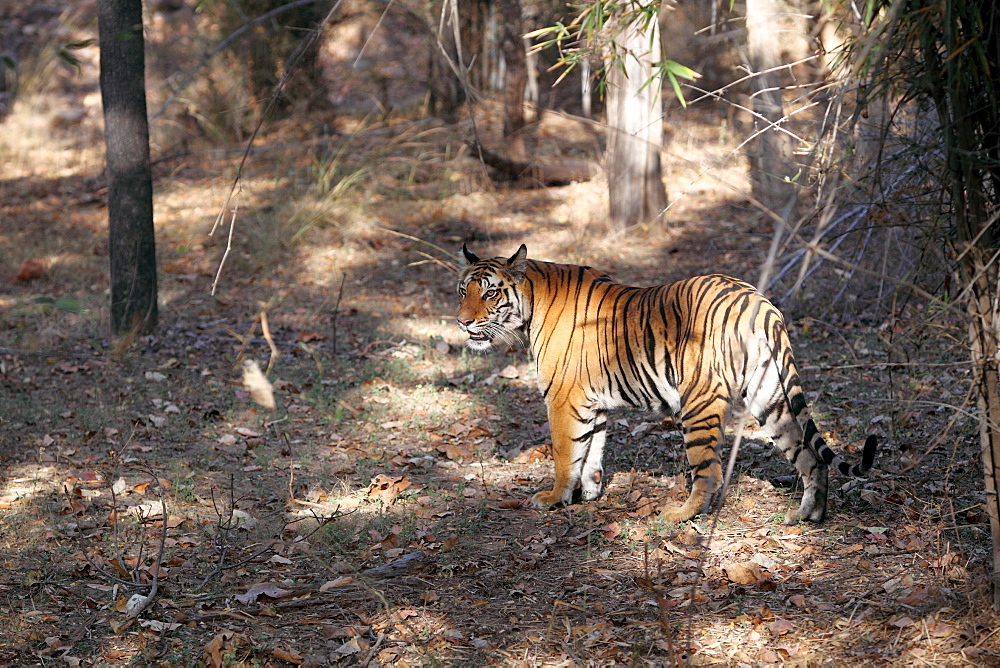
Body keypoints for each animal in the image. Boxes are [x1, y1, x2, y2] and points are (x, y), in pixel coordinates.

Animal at [454, 243, 876, 524]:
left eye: (490, 292)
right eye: (463, 291)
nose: (463, 322)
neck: (530, 304)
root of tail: (757, 301)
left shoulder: (562, 399)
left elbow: (564, 454)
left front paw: (554, 497)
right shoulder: (593, 404)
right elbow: (591, 453)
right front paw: (588, 494)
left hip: (699, 404)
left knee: (708, 472)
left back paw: (678, 516)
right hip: (771, 399)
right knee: (809, 457)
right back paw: (809, 517)